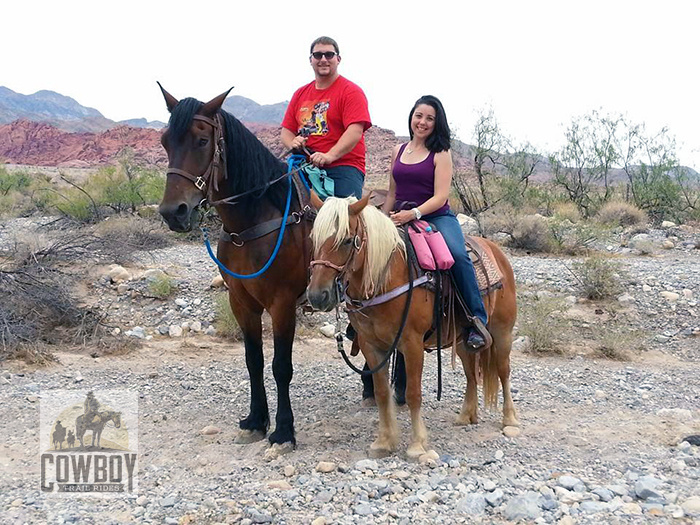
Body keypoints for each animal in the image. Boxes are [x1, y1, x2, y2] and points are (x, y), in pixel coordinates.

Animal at [159, 84, 314, 448]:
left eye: (202, 141)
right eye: (164, 141)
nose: (173, 212)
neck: (252, 223)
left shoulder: (283, 303)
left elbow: (281, 365)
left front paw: (283, 429)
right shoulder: (241, 301)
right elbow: (253, 360)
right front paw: (256, 419)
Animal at [308, 194, 520, 456]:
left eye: (347, 241)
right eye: (313, 238)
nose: (317, 296)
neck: (387, 278)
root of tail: (496, 252)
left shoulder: (412, 344)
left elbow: (413, 393)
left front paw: (417, 444)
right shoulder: (371, 345)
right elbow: (381, 393)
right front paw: (384, 441)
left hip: (502, 333)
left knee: (503, 371)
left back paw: (510, 419)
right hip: (463, 340)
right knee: (471, 374)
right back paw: (466, 416)